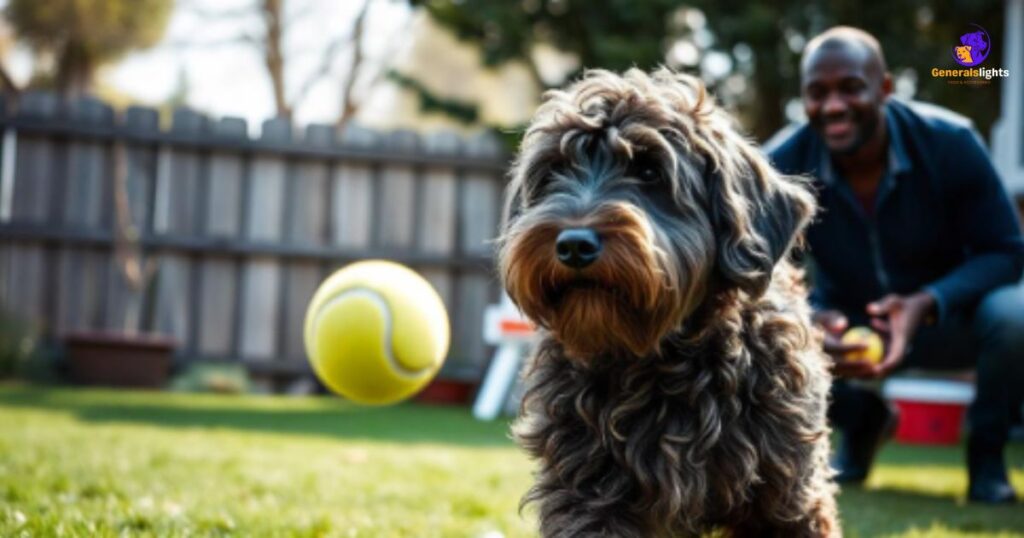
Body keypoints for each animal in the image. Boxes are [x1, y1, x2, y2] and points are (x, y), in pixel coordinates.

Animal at [497, 69, 839, 532]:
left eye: (649, 170)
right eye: (553, 172)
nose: (573, 245)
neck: (662, 359)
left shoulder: (787, 492)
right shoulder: (588, 491)